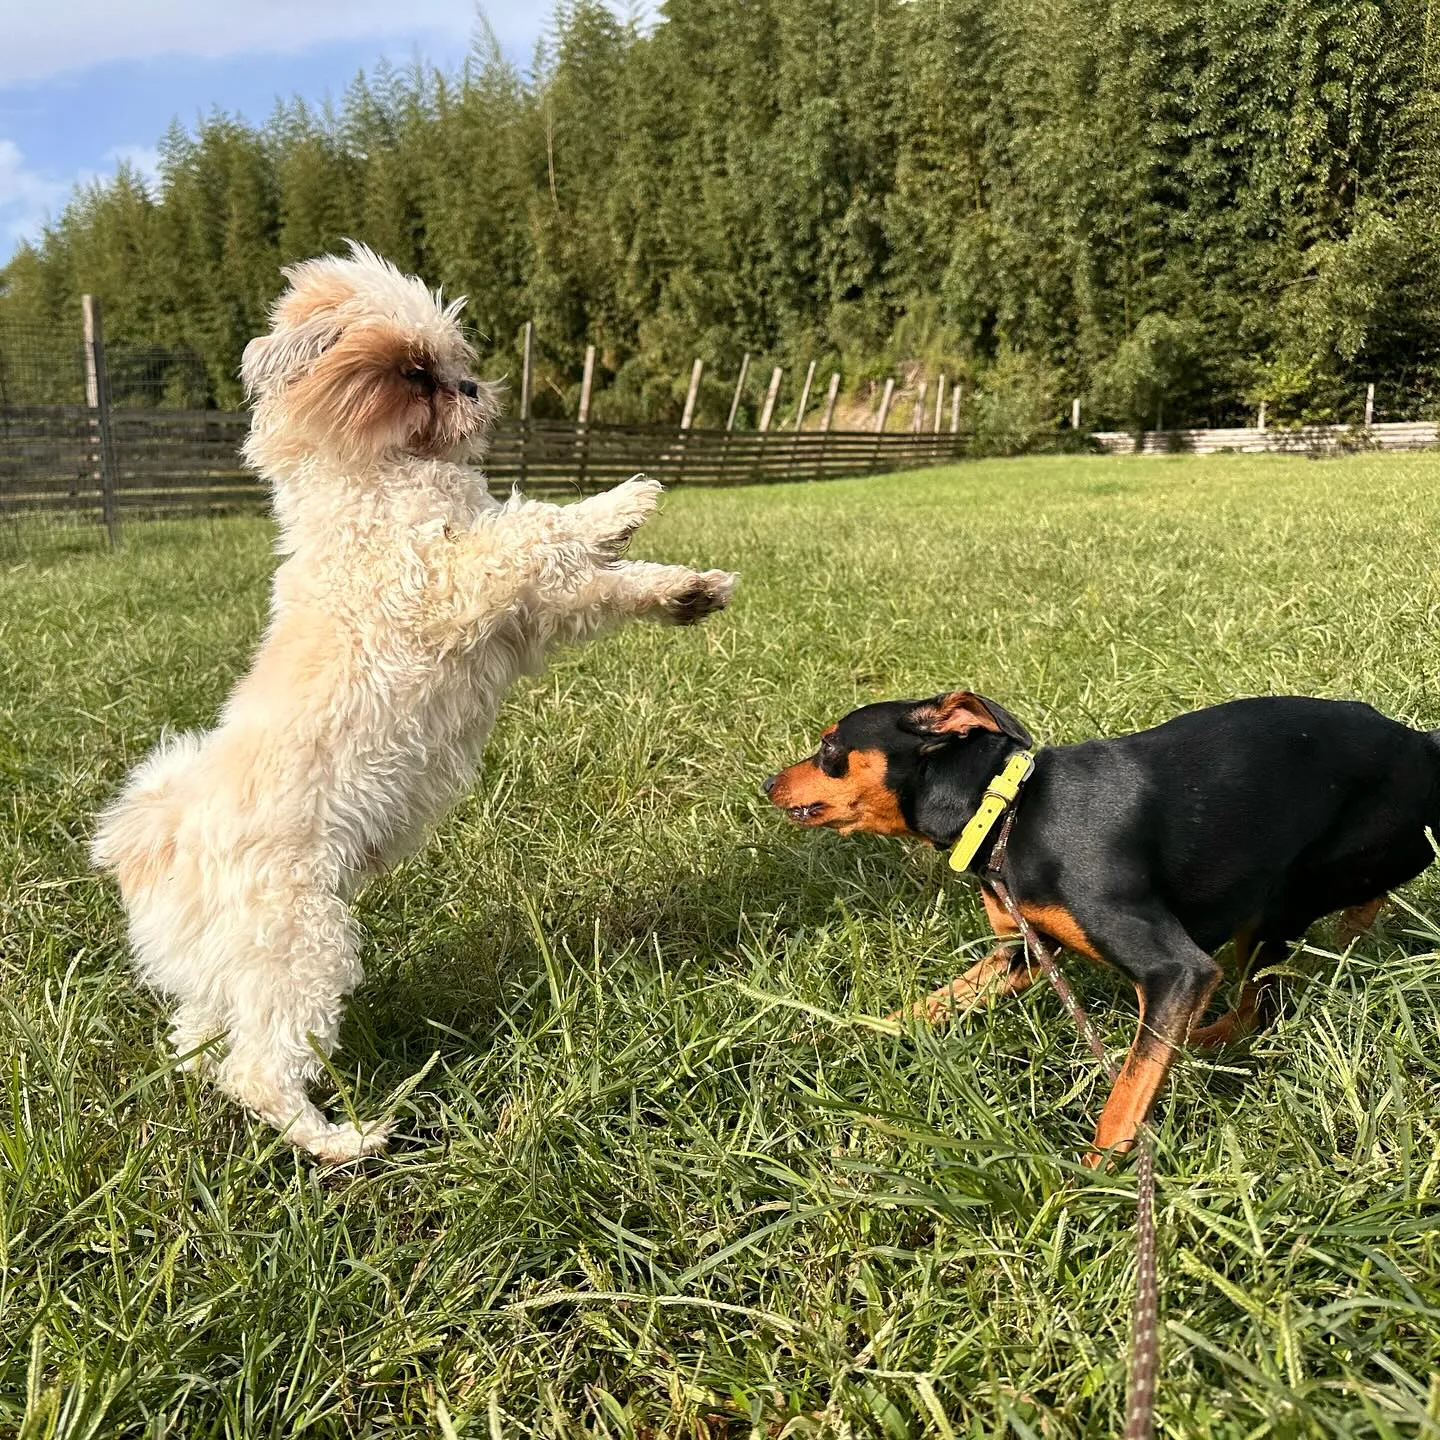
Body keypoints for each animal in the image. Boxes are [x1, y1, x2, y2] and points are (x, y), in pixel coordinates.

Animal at [95, 244, 737, 1157]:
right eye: (413, 374)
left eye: (452, 361)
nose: (470, 389)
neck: (378, 479)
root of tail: (147, 841)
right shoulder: (446, 581)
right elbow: (533, 525)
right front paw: (621, 503)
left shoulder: (524, 617)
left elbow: (594, 587)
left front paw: (685, 589)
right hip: (302, 945)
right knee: (259, 1070)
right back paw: (346, 1142)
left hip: (230, 971)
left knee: (201, 1040)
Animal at [760, 691, 1434, 1163]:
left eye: (829, 747)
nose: (767, 782)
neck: (1007, 812)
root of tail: (1421, 742)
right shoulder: (1022, 955)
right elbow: (923, 1008)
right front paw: (822, 1039)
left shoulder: (1178, 971)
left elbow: (1126, 1095)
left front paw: (1094, 1181)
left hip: (1282, 896)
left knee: (1257, 1005)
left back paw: (1200, 1044)